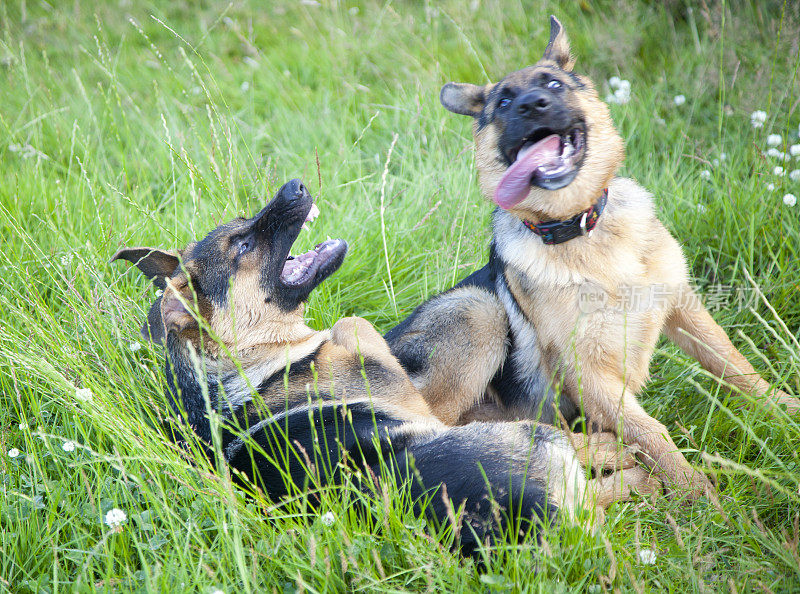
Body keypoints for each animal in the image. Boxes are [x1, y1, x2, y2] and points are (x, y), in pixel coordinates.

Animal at [112, 178, 652, 552]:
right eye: (243, 246)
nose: (295, 184)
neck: (243, 364)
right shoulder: (384, 372)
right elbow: (349, 322)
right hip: (521, 416)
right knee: (594, 473)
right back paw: (632, 462)